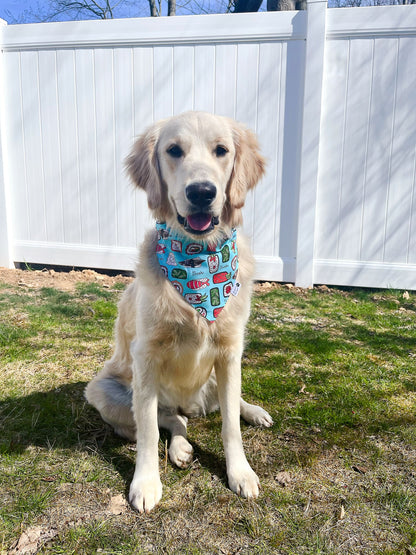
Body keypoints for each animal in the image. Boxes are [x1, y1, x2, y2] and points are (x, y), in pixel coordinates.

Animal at [84, 111, 272, 516]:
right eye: (173, 150)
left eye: (221, 150)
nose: (201, 192)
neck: (198, 260)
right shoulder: (146, 356)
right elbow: (149, 431)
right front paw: (145, 483)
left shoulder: (230, 351)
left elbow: (230, 426)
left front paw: (240, 472)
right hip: (105, 391)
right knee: (170, 419)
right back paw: (181, 446)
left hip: (217, 377)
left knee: (220, 407)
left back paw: (253, 411)